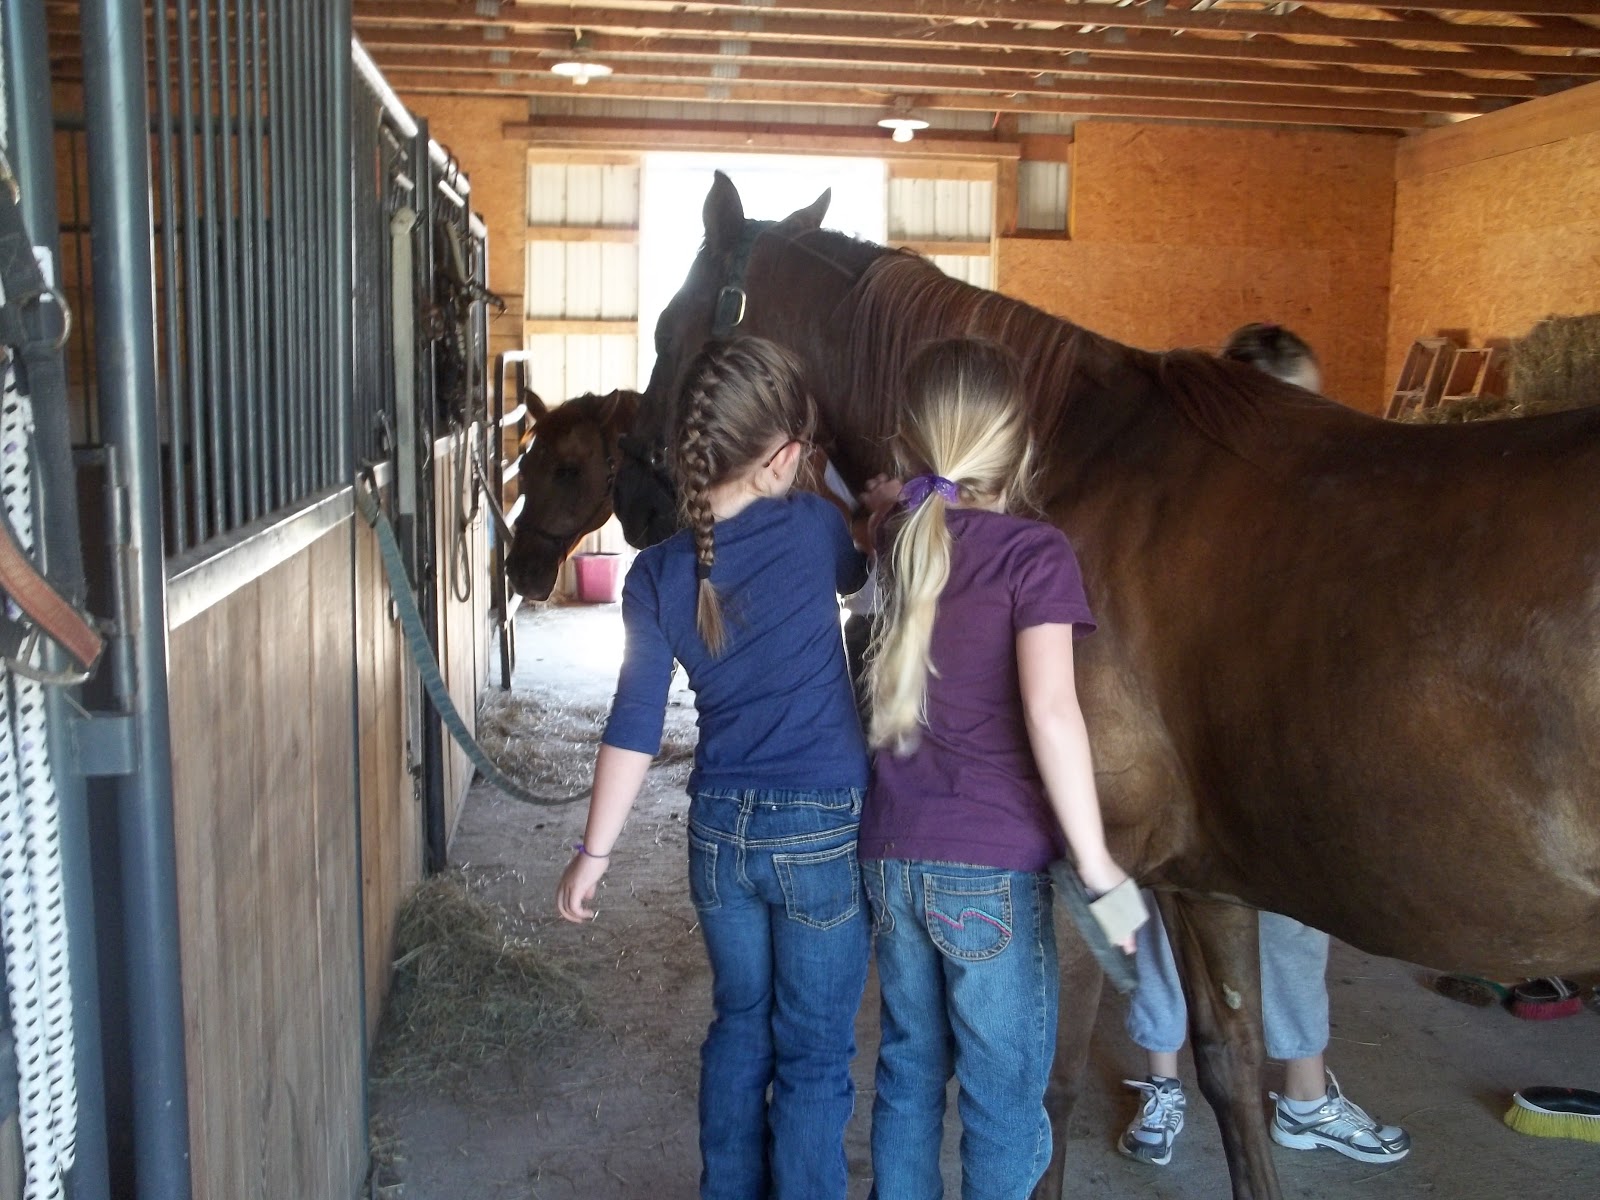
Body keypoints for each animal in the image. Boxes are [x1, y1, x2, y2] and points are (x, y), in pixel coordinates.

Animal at [616, 172, 1600, 1200]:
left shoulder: (1081, 874)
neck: (1062, 462)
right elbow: (1229, 1065)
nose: (634, 501)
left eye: (672, 327)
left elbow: (1041, 1093)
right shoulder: (1204, 882)